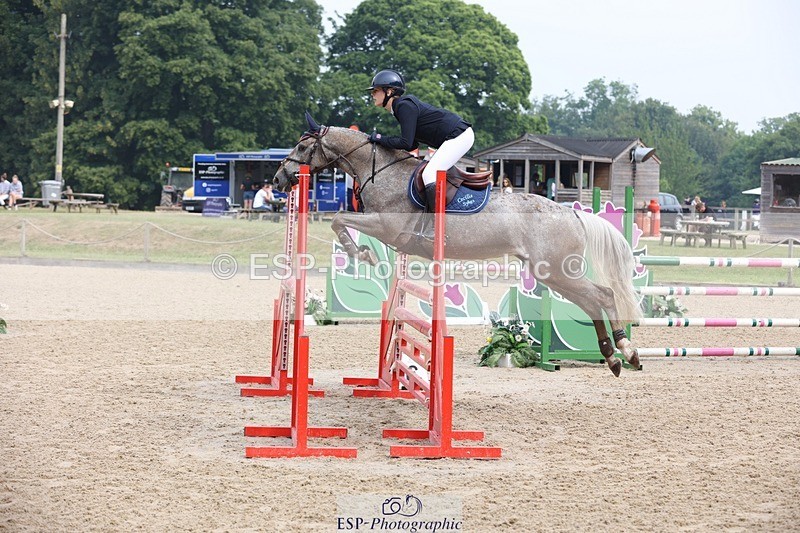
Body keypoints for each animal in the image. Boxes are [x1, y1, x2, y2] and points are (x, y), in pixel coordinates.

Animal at [274, 114, 642, 376]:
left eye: (302, 148)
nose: (278, 180)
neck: (383, 172)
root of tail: (574, 213)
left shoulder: (387, 228)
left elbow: (338, 219)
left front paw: (360, 253)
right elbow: (340, 220)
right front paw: (361, 253)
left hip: (555, 270)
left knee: (602, 296)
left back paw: (627, 351)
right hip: (551, 272)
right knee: (592, 302)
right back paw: (613, 358)